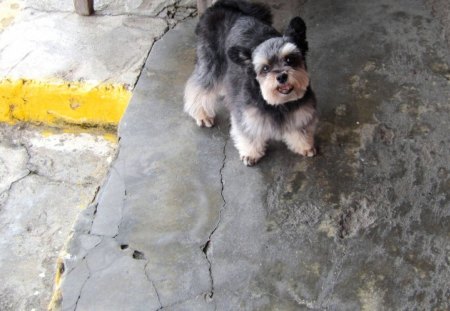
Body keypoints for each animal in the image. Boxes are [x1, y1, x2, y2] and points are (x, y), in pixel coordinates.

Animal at [183, 0, 316, 167]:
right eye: (265, 68)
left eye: (289, 59)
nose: (281, 77)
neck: (278, 104)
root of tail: (224, 6)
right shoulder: (246, 115)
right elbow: (248, 134)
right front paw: (250, 153)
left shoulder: (301, 111)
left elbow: (300, 129)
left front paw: (304, 145)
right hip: (211, 64)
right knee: (198, 87)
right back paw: (202, 114)